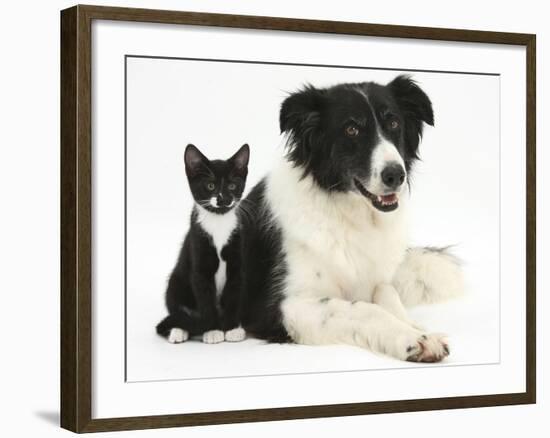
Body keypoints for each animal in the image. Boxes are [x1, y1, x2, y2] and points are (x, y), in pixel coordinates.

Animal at [155, 145, 250, 346]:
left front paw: (231, 329)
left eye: (232, 186)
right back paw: (178, 330)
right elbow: (205, 299)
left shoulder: (237, 264)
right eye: (210, 186)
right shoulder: (199, 260)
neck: (218, 222)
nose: (223, 199)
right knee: (177, 309)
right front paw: (213, 330)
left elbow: (233, 295)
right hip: (176, 281)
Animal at [242, 76, 466, 362]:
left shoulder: (378, 278)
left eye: (394, 123)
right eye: (351, 129)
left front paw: (416, 328)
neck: (353, 217)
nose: (395, 175)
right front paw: (413, 339)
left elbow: (387, 294)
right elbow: (364, 309)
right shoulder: (284, 306)